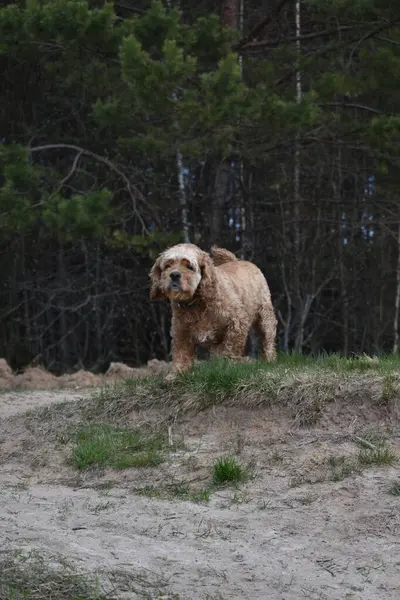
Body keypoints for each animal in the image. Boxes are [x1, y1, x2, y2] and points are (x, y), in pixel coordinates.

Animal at [148, 244, 276, 376]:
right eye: (168, 265)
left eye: (190, 267)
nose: (174, 275)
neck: (197, 303)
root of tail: (238, 261)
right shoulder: (181, 332)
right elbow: (181, 354)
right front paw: (176, 374)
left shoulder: (238, 321)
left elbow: (231, 348)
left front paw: (229, 366)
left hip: (265, 317)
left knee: (267, 340)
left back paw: (269, 360)